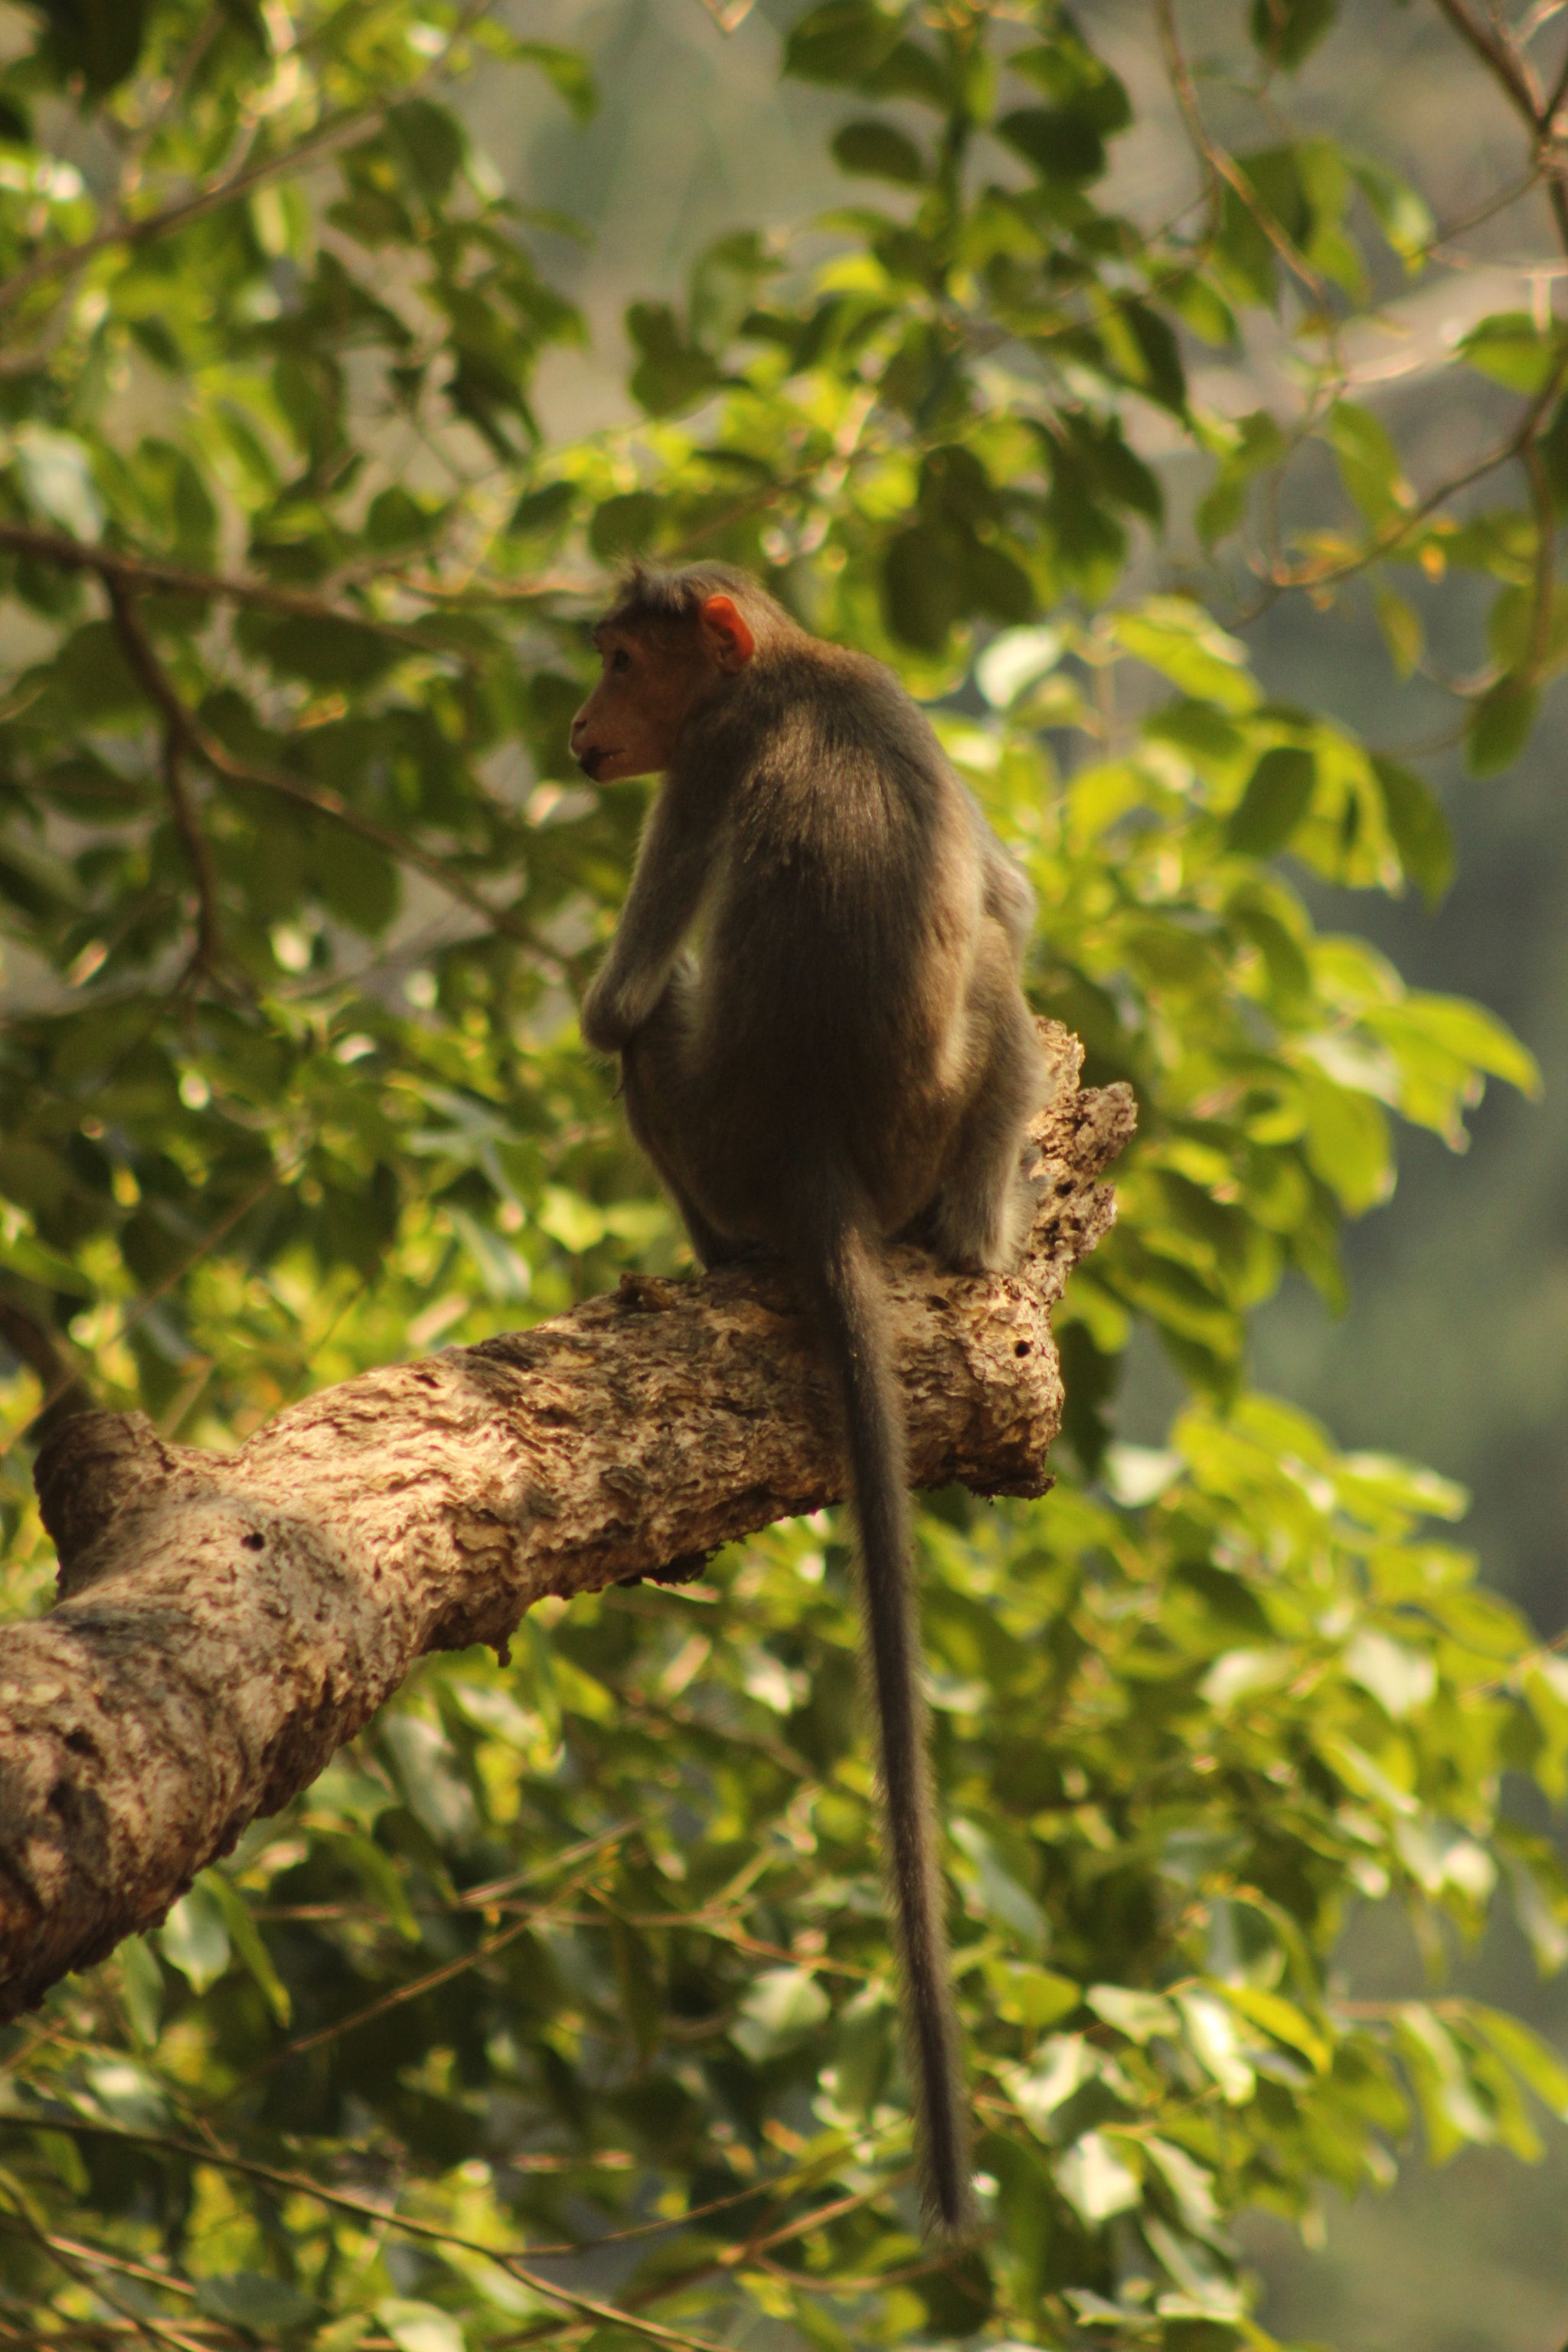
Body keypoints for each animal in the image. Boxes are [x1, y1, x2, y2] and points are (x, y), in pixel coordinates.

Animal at [570, 561, 1047, 2237]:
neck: (781, 666)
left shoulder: (705, 767)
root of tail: (818, 1171)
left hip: (719, 1133)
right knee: (1000, 977)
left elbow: (615, 1007)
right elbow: (1012, 908)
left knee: (669, 1025)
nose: (580, 729)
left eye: (620, 661)